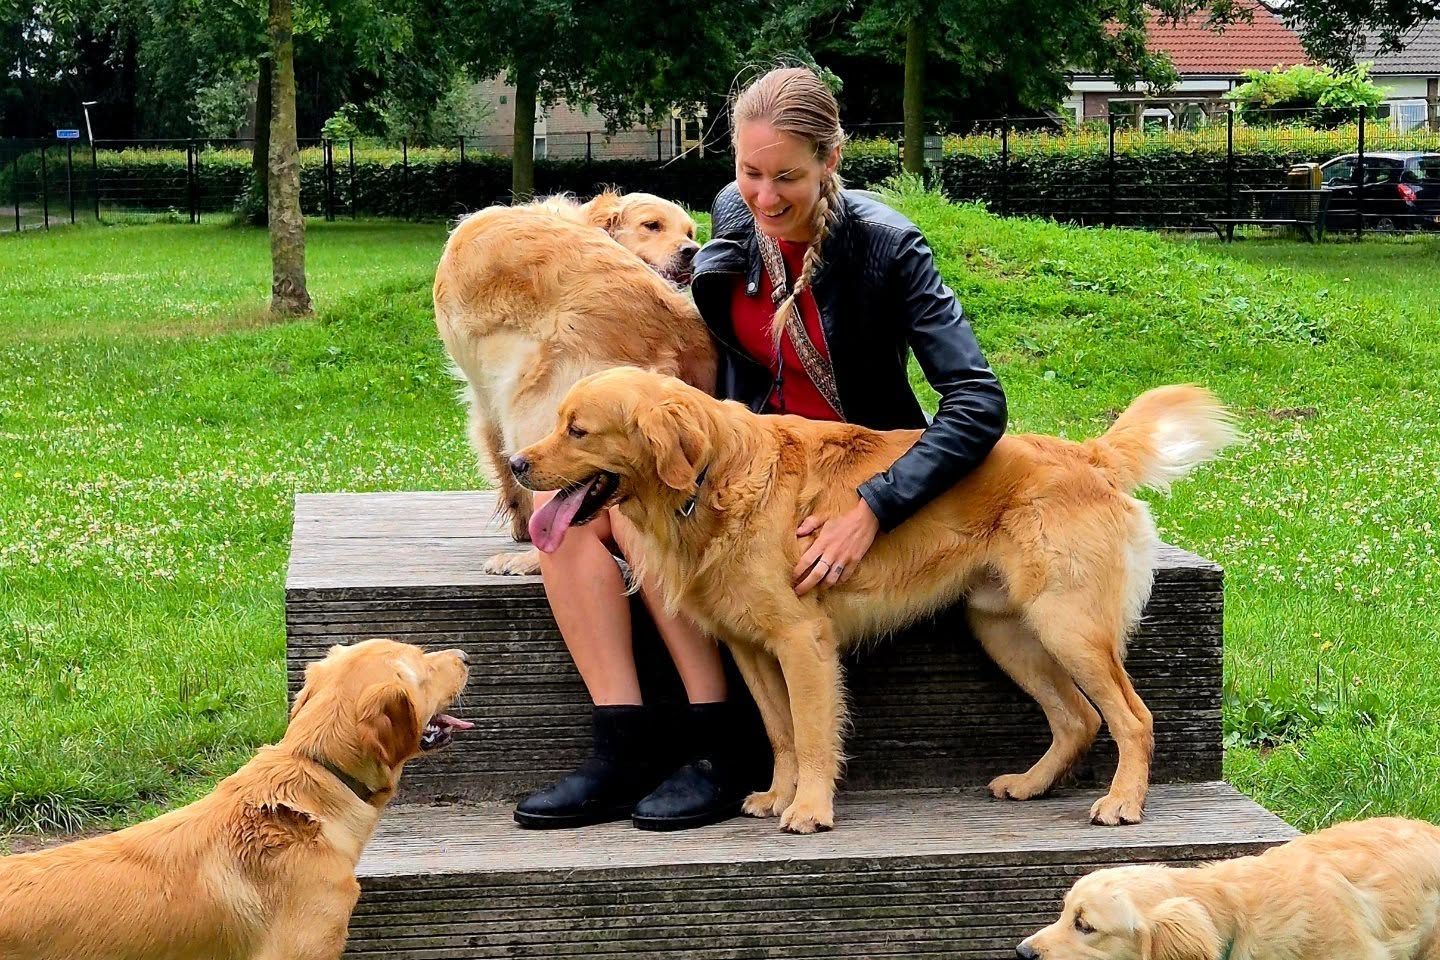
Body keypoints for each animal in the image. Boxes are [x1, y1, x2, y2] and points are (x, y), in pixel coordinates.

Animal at [433, 191, 716, 576]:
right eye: (652, 225)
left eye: (688, 231)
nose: (692, 250)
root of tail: (673, 317)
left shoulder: (486, 399)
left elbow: (501, 458)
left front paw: (519, 526)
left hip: (534, 406)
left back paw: (526, 559)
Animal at [509, 368, 1237, 833]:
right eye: (559, 423)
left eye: (578, 430)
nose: (516, 463)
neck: (714, 479)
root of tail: (1089, 454)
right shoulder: (751, 647)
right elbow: (780, 731)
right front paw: (776, 795)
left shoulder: (803, 641)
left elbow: (811, 731)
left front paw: (809, 809)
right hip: (1007, 632)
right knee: (1078, 719)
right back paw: (1030, 785)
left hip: (1069, 627)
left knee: (1133, 718)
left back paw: (1122, 803)